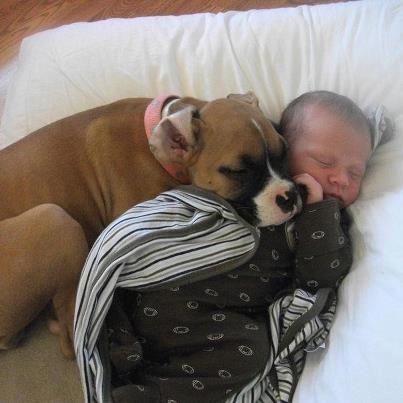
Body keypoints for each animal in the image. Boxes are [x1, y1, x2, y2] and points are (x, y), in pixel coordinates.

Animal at [0, 92, 300, 360]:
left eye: (285, 150)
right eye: (238, 172)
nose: (289, 197)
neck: (160, 153)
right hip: (55, 219)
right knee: (71, 340)